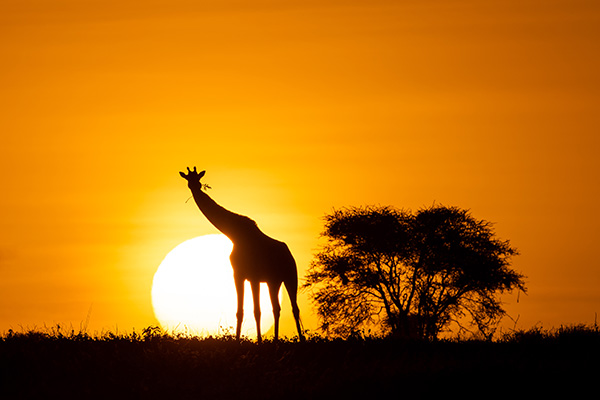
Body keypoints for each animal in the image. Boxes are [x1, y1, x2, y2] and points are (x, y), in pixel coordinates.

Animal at [179, 167, 304, 342]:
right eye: (188, 180)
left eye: (198, 179)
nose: (195, 187)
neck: (234, 233)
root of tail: (289, 254)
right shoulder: (240, 274)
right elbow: (240, 311)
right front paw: (238, 342)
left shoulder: (253, 276)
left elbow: (256, 310)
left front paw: (258, 342)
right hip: (273, 281)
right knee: (276, 308)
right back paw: (276, 340)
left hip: (290, 276)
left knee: (294, 308)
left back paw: (301, 340)